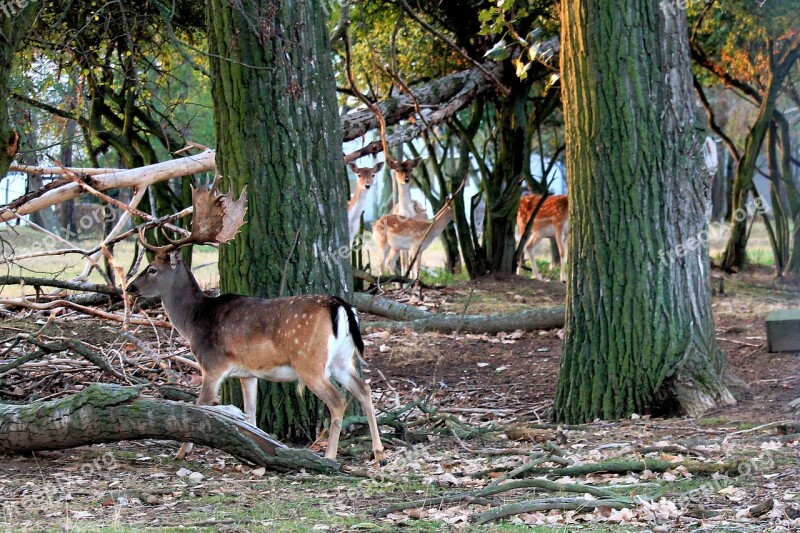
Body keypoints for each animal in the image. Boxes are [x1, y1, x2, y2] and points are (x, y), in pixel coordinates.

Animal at [126, 180, 386, 466]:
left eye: (152, 269)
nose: (129, 287)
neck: (194, 320)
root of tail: (340, 305)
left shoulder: (212, 364)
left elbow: (201, 406)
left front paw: (183, 451)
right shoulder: (247, 373)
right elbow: (250, 413)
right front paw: (254, 450)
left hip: (310, 362)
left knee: (338, 400)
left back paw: (329, 456)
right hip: (342, 358)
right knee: (364, 389)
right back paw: (380, 454)